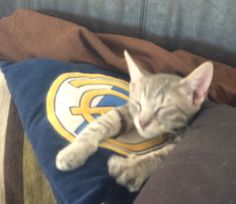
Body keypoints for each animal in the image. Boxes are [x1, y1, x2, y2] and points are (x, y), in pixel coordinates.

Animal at [55, 50, 214, 192]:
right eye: (138, 104)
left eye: (162, 109)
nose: (142, 123)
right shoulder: (129, 112)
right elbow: (102, 123)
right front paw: (75, 149)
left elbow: (161, 155)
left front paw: (132, 168)